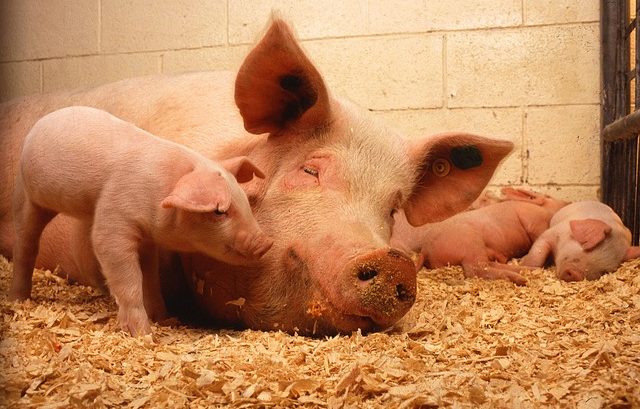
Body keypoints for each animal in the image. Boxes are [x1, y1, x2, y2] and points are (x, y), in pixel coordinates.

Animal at [9, 106, 272, 336]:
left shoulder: (147, 239)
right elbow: (127, 275)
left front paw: (164, 319)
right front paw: (143, 333)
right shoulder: (114, 217)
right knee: (25, 243)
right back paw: (19, 299)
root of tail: (40, 124)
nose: (266, 243)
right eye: (219, 211)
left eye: (244, 200)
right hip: (29, 197)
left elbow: (151, 278)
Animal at [391, 187, 569, 285]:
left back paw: (525, 272)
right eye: (550, 197)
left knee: (488, 265)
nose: (568, 202)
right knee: (475, 269)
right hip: (471, 243)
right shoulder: (533, 220)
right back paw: (521, 279)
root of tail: (425, 250)